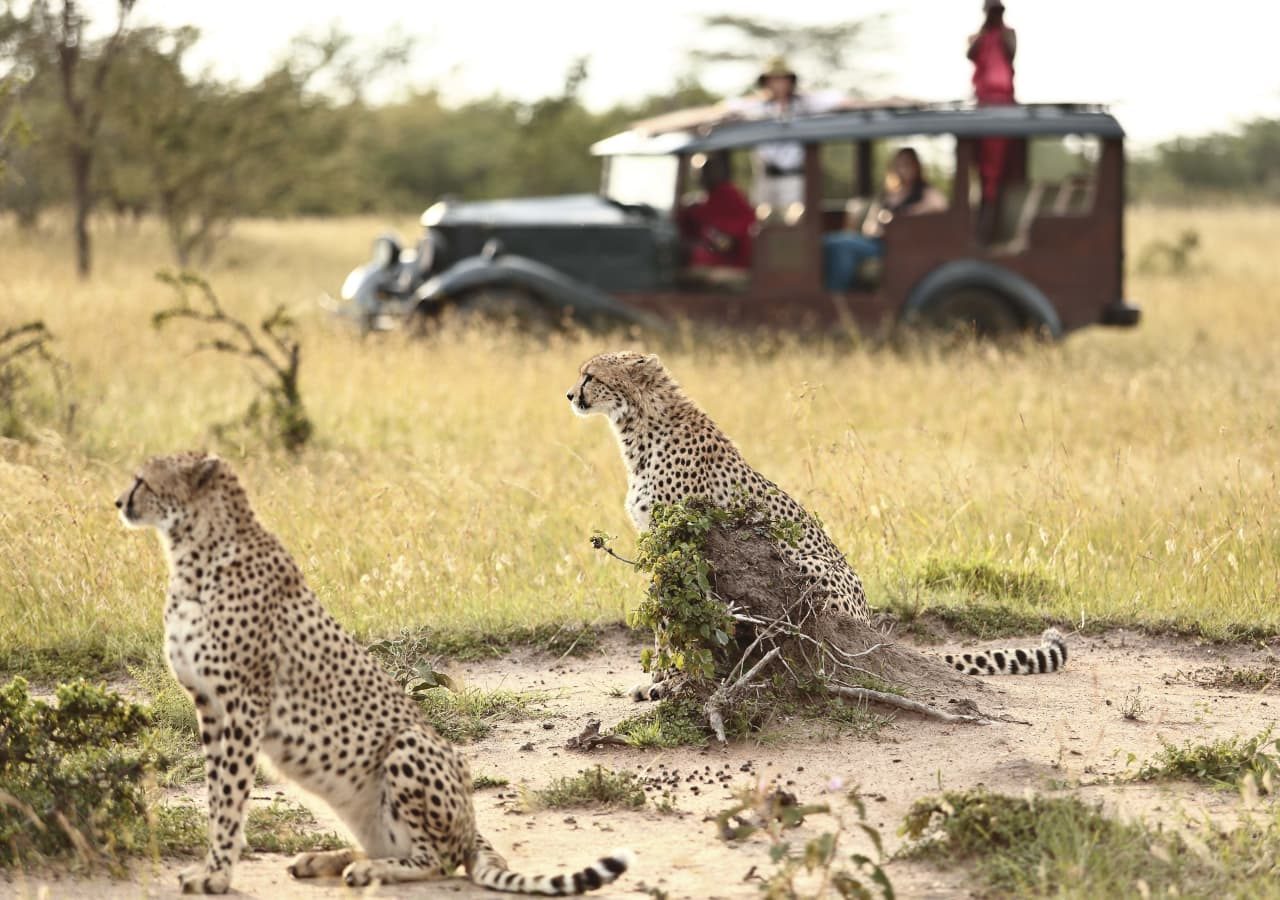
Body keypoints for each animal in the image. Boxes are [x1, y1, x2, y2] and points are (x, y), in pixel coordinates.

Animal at [119, 450, 629, 896]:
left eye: (142, 480)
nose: (118, 502)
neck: (194, 552)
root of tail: (471, 824)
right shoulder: (209, 706)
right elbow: (215, 794)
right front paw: (213, 867)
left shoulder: (244, 704)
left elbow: (228, 798)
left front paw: (217, 876)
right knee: (387, 844)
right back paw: (326, 859)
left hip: (409, 744)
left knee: (437, 859)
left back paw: (372, 871)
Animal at [565, 350, 1064, 696]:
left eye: (592, 375)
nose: (570, 395)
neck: (639, 427)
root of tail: (871, 624)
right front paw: (660, 679)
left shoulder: (679, 543)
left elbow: (670, 620)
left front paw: (664, 680)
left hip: (806, 566)